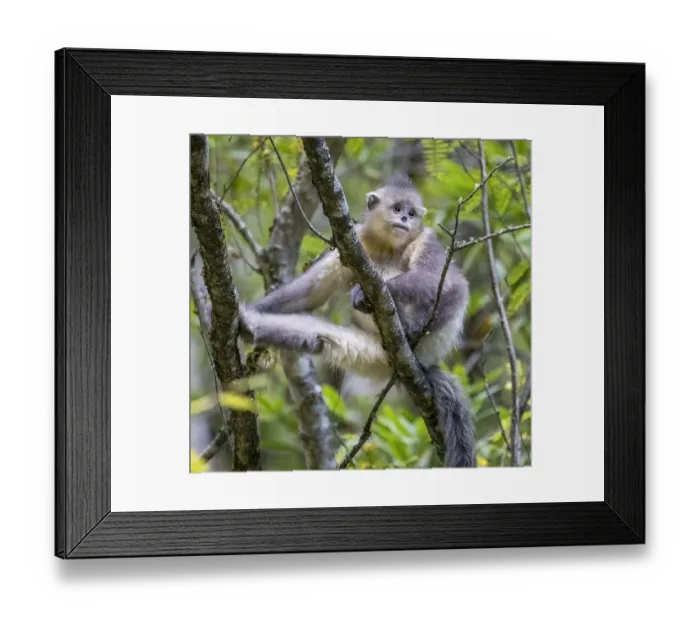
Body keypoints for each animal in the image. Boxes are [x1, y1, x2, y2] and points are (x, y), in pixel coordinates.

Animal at [239, 172, 475, 467]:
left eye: (411, 213)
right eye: (397, 208)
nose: (405, 219)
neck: (387, 247)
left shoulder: (425, 239)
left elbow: (444, 282)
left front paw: (365, 293)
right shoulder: (354, 244)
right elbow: (310, 293)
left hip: (429, 341)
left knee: (450, 291)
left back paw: (408, 328)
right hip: (370, 350)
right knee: (316, 335)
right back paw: (248, 325)